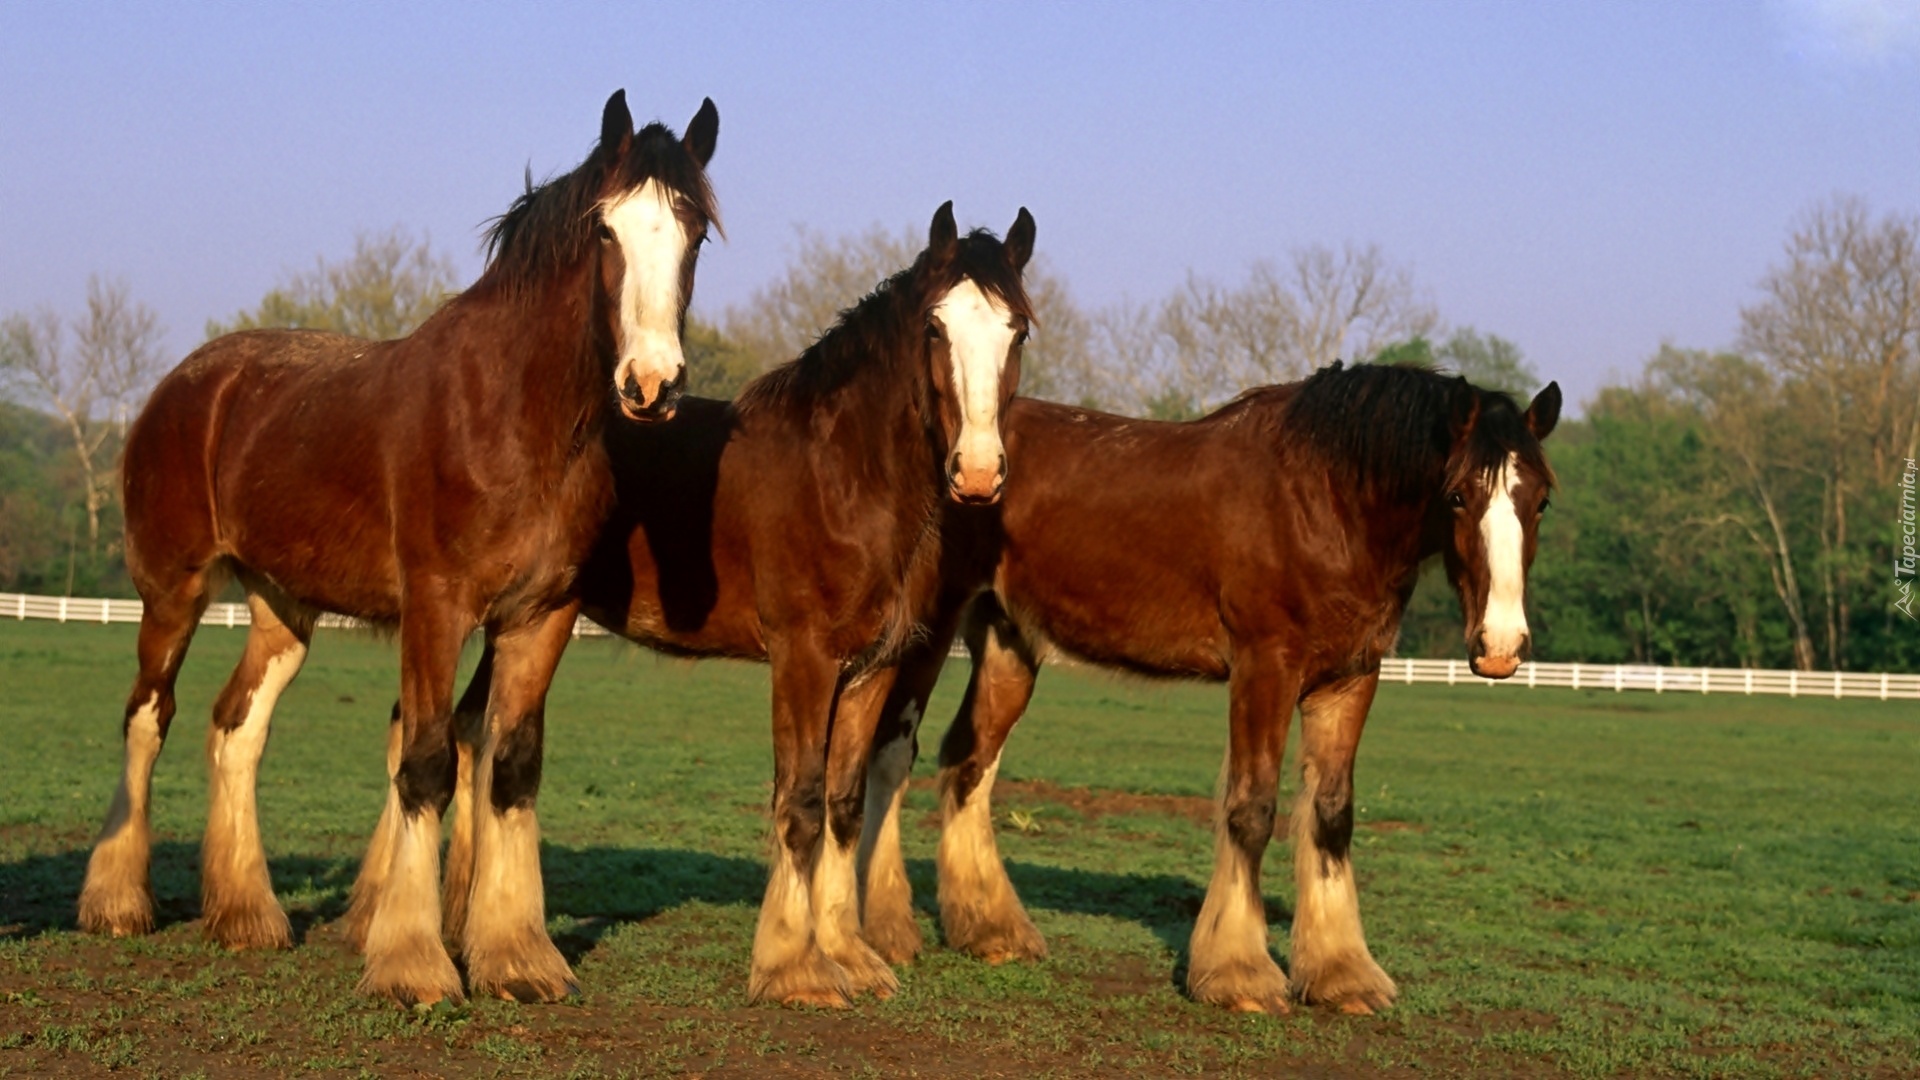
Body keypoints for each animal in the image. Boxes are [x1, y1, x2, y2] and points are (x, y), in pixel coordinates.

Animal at [72, 88, 721, 1006]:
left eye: (695, 233)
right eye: (606, 230)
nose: (651, 384)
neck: (511, 417)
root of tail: (188, 382)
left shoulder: (542, 617)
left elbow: (510, 768)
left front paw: (517, 956)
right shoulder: (436, 609)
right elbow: (425, 763)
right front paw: (412, 963)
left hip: (282, 609)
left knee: (237, 726)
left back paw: (247, 915)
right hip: (173, 591)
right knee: (146, 715)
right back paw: (117, 902)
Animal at [424, 205, 1036, 1006]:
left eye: (1017, 331)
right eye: (935, 328)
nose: (979, 472)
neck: (842, 475)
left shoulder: (871, 671)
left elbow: (842, 807)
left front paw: (850, 956)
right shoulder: (804, 660)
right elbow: (799, 802)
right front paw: (794, 969)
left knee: (473, 730)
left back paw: (468, 926)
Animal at [856, 361, 1559, 1006]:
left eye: (1542, 499)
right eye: (1459, 494)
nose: (1501, 646)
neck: (1324, 502)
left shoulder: (1349, 679)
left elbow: (1331, 814)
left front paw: (1342, 974)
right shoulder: (1265, 667)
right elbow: (1251, 810)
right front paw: (1238, 973)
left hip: (1008, 642)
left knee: (968, 761)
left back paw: (990, 930)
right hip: (927, 633)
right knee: (893, 757)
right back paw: (886, 930)